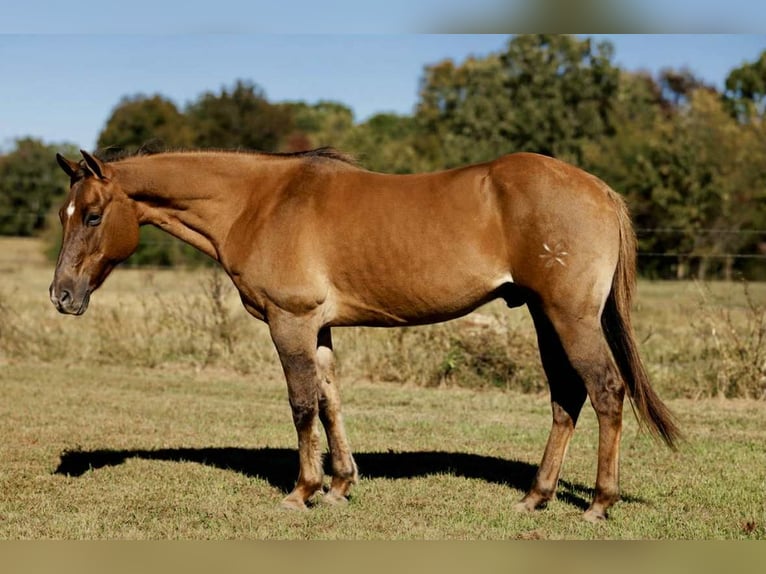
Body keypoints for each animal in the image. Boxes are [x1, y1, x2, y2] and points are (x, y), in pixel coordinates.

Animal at [50, 147, 679, 522]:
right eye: (64, 214)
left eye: (93, 215)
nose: (61, 295)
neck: (260, 202)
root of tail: (600, 191)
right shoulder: (319, 328)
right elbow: (331, 403)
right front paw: (339, 485)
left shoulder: (291, 322)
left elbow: (302, 404)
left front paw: (302, 491)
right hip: (545, 316)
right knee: (566, 398)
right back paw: (535, 496)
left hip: (570, 317)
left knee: (606, 392)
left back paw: (598, 504)